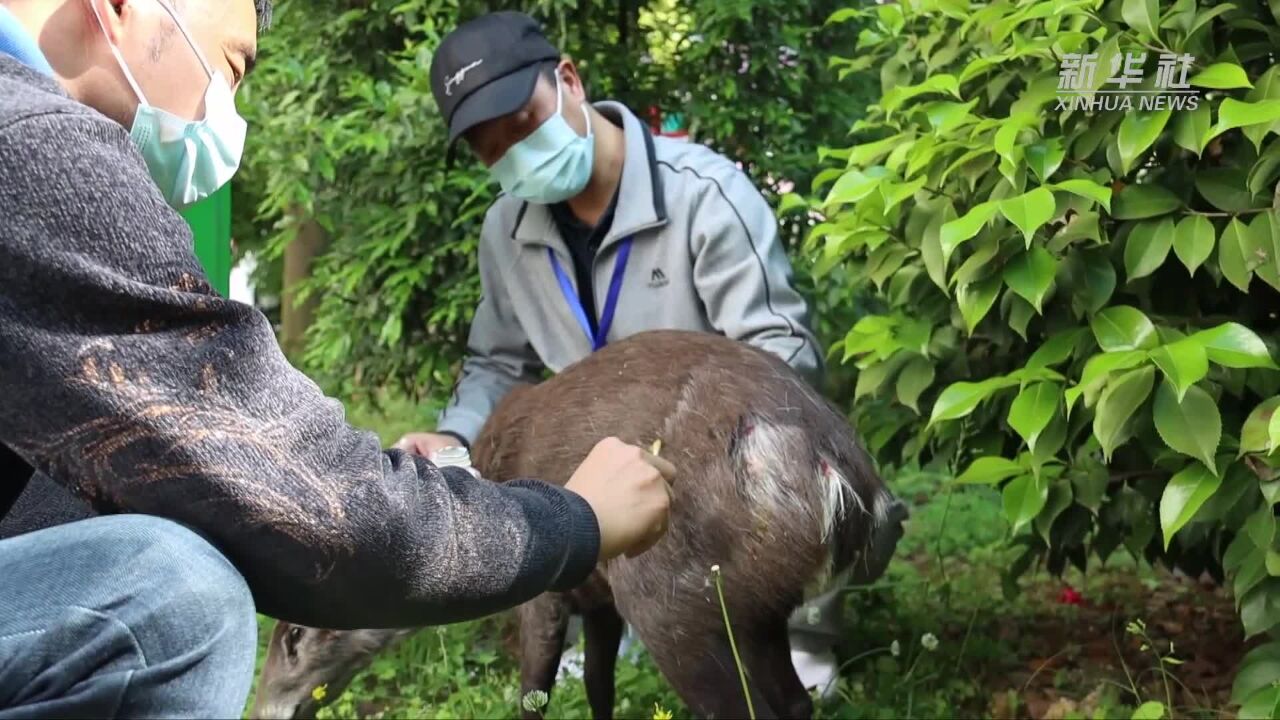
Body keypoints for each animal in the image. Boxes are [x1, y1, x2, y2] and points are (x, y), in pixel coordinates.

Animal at [249, 330, 901, 717]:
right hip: (757, 606)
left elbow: (532, 692)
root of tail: (840, 480)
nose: (264, 710)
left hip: (679, 599)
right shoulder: (599, 597)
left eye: (293, 637)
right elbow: (597, 685)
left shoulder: (549, 589)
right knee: (793, 703)